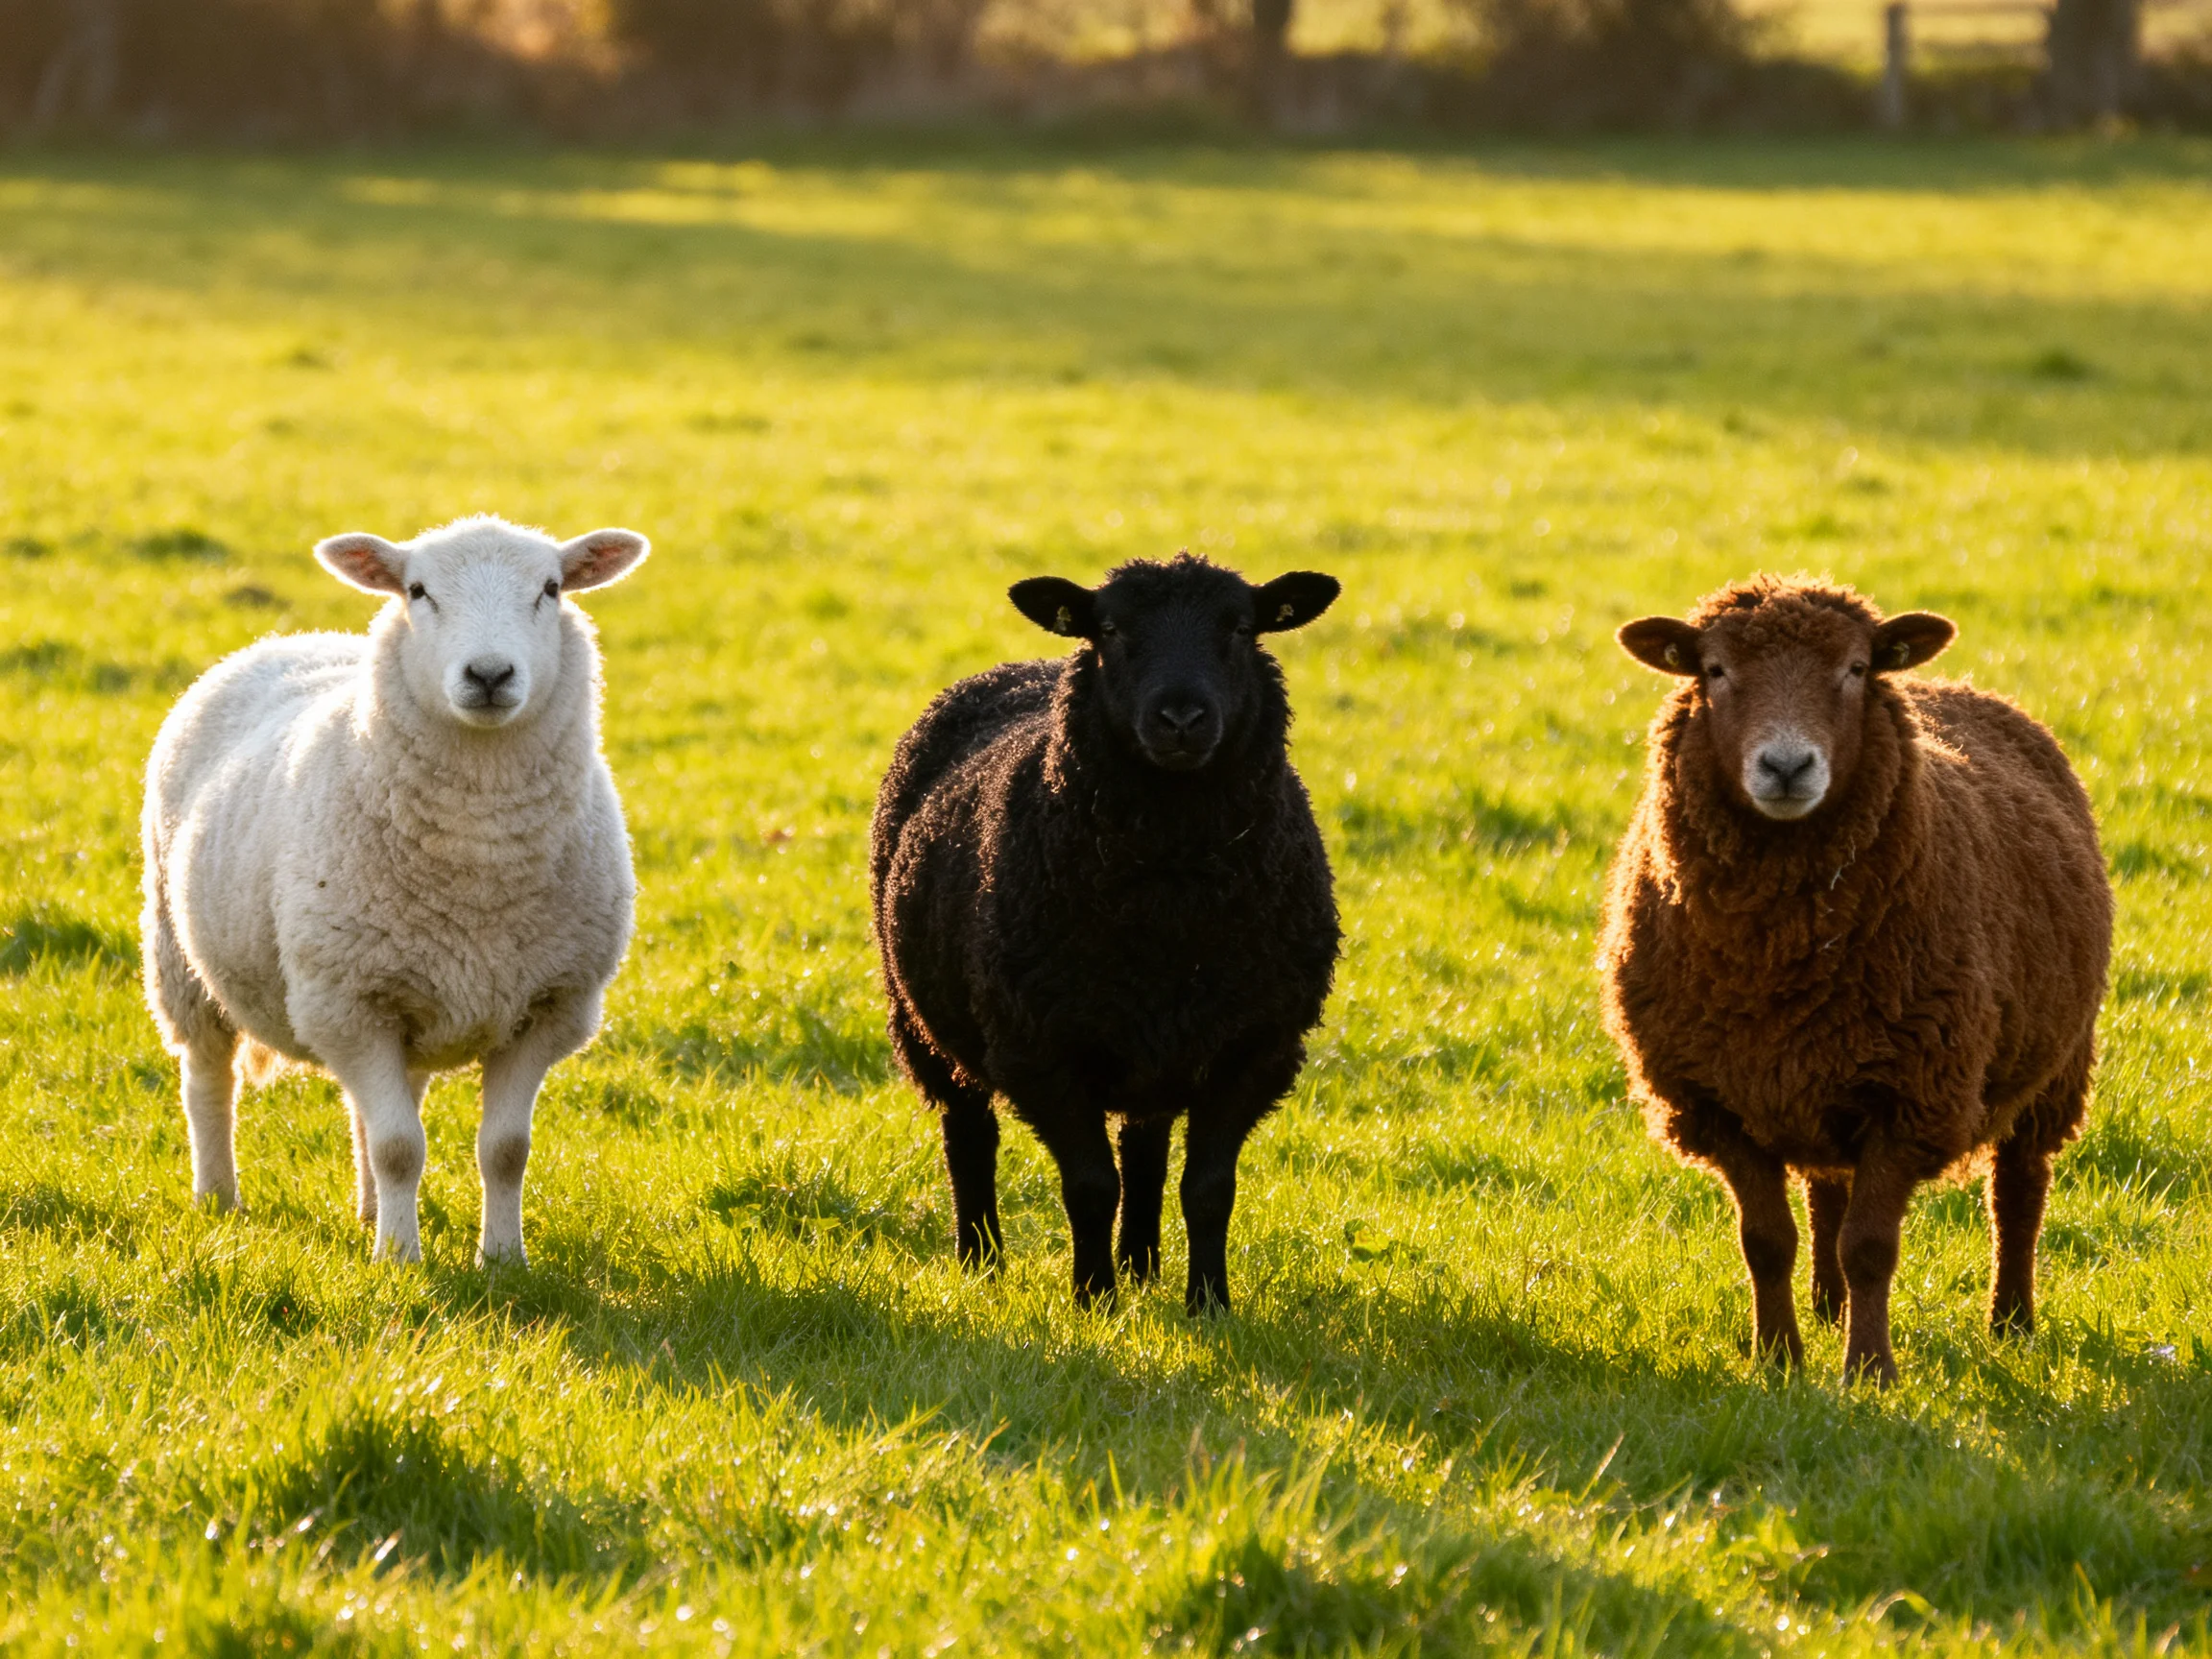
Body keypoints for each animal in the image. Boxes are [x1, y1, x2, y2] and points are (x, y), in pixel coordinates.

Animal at [140, 514, 648, 1265]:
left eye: (551, 589)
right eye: (418, 591)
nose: (489, 674)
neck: (480, 854)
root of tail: (290, 638)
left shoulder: (548, 1006)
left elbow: (505, 1150)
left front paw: (502, 1261)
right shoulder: (348, 1002)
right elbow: (401, 1147)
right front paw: (400, 1261)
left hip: (409, 996)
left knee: (371, 1108)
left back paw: (368, 1212)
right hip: (180, 957)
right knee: (208, 1078)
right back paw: (219, 1199)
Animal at [870, 552, 1342, 1313]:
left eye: (1241, 628)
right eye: (1112, 630)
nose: (1181, 716)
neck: (1172, 896)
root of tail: (1025, 664)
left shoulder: (1255, 1047)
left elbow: (1208, 1190)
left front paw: (1208, 1304)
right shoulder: (1041, 1050)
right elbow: (1090, 1187)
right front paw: (1095, 1300)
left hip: (1156, 1040)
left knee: (1145, 1147)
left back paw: (1143, 1265)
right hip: (918, 1019)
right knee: (969, 1135)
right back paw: (982, 1262)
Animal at [1599, 575, 2111, 1383]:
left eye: (1856, 669)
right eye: (1713, 670)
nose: (1786, 767)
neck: (1776, 958)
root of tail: (1957, 686)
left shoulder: (1910, 1094)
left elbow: (1871, 1247)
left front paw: (1869, 1371)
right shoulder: (1718, 1099)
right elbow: (1766, 1242)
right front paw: (1778, 1360)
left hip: (2054, 1064)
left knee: (2020, 1191)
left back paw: (2011, 1322)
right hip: (1818, 1074)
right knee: (1825, 1189)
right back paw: (1826, 1308)